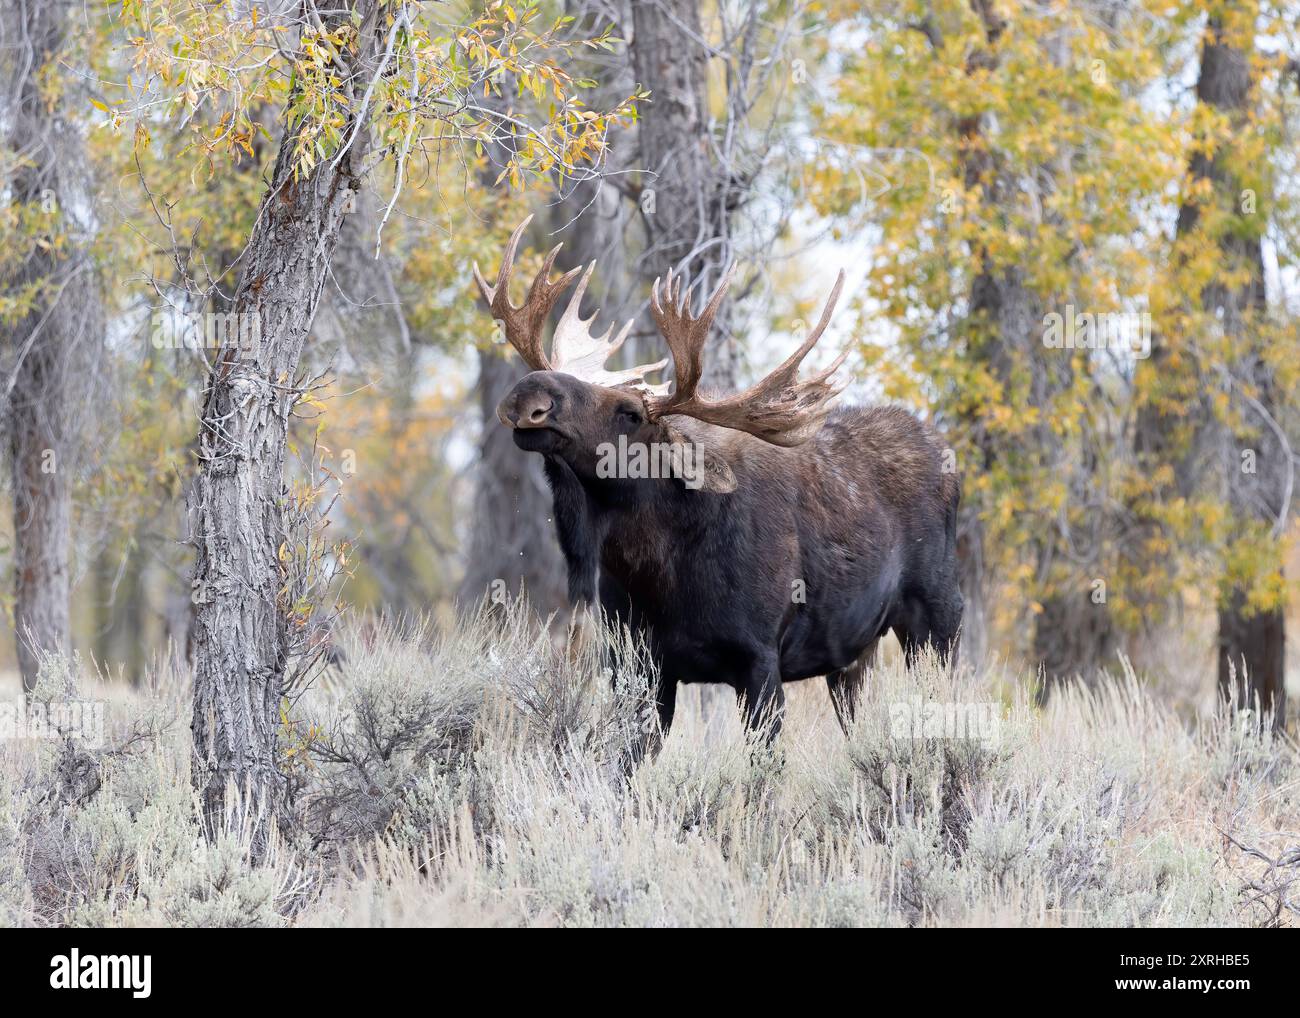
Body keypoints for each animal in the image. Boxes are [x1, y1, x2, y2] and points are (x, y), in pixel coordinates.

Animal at [473, 217, 961, 738]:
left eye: (630, 413)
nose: (530, 393)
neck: (654, 575)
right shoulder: (640, 665)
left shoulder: (760, 657)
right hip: (854, 655)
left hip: (939, 616)